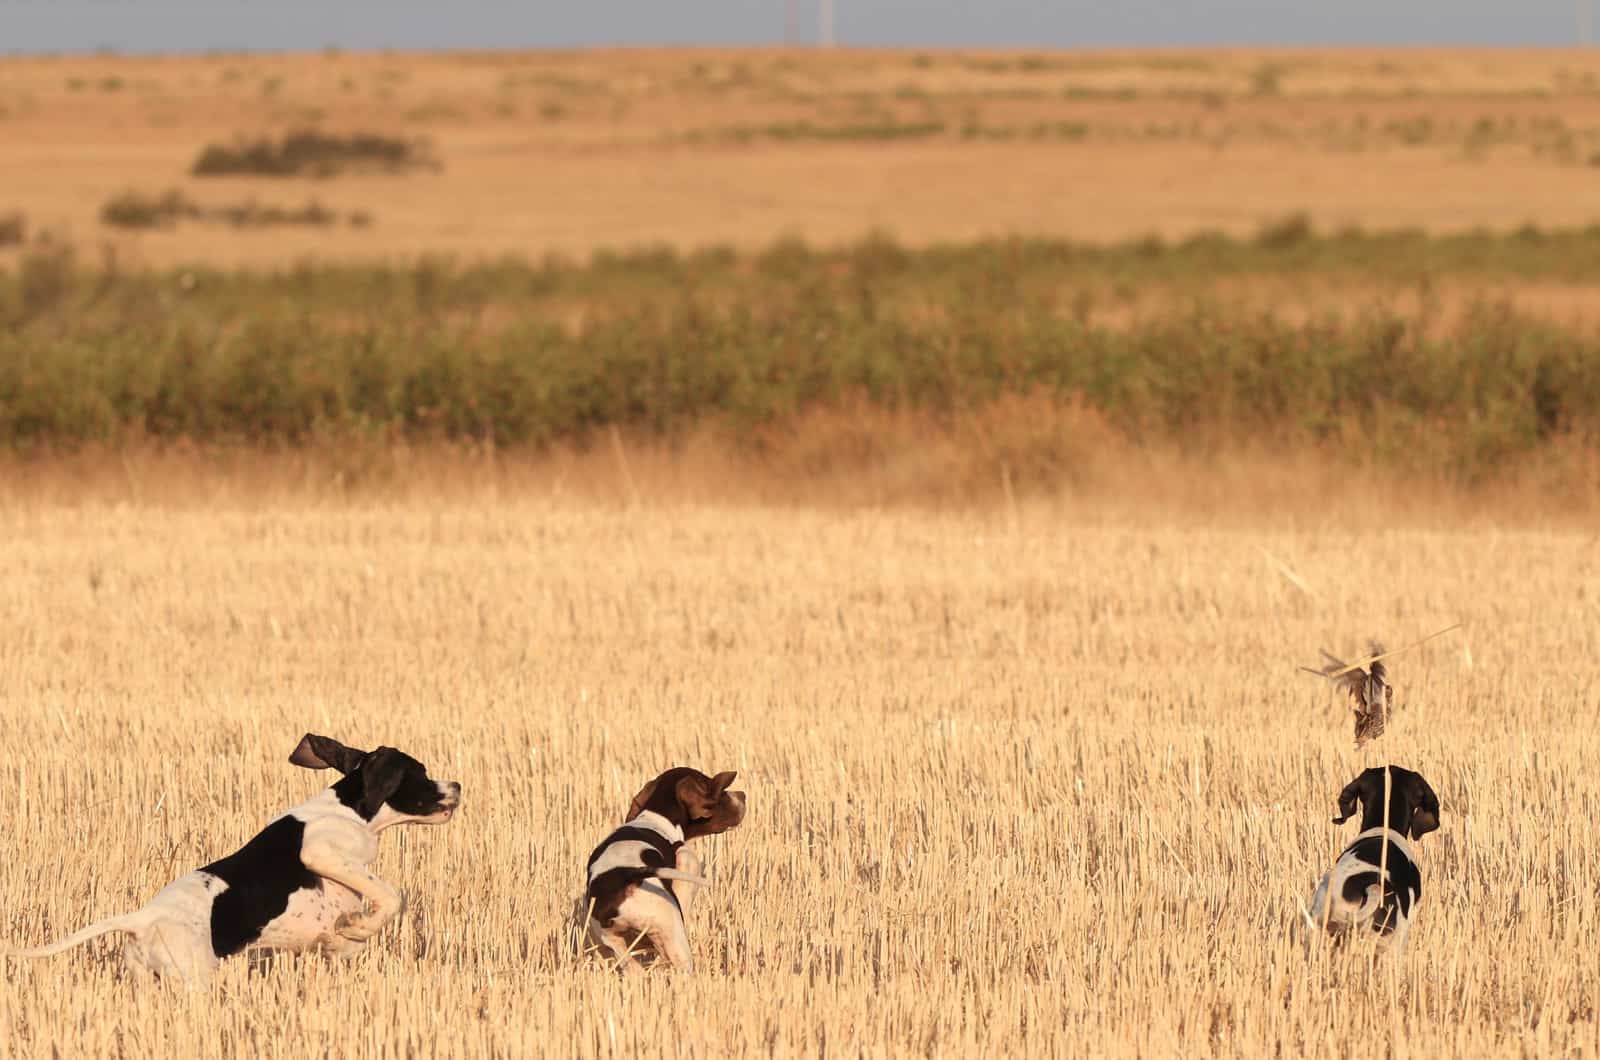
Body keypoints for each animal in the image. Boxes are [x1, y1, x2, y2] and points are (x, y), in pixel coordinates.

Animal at [12, 736, 460, 986]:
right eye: (421, 772)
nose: (456, 784)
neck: (353, 811)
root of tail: (142, 919)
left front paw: (351, 927)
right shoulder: (321, 851)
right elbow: (392, 896)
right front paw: (358, 923)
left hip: (147, 983)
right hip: (193, 981)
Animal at [585, 768, 745, 973]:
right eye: (720, 792)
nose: (743, 795)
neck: (655, 817)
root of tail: (627, 877)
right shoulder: (687, 858)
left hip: (613, 941)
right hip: (673, 937)